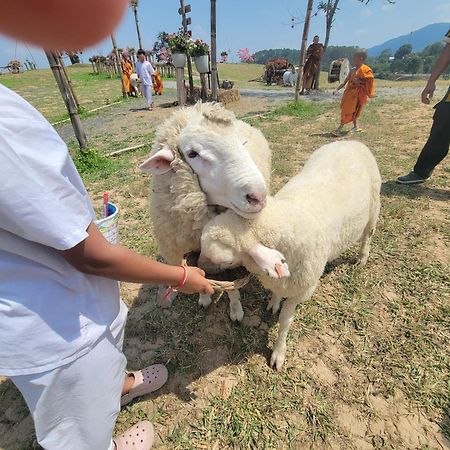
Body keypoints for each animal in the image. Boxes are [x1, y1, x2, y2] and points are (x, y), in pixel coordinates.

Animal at [140, 100, 270, 310]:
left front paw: (235, 308)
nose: (258, 196)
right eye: (192, 153)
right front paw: (204, 297)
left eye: (241, 143)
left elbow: (231, 285)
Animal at [200, 142, 380, 370]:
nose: (198, 268)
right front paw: (274, 304)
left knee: (368, 236)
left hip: (374, 209)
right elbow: (277, 293)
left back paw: (362, 259)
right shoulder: (281, 279)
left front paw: (279, 352)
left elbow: (286, 321)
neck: (290, 216)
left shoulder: (301, 290)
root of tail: (351, 142)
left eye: (227, 260)